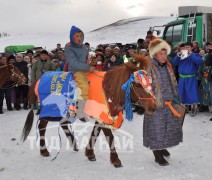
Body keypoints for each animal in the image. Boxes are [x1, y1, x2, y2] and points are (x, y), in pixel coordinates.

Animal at [21, 54, 157, 167]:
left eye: (150, 82)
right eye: (138, 85)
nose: (153, 107)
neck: (108, 90)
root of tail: (38, 80)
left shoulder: (101, 117)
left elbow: (95, 133)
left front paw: (89, 153)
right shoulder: (103, 117)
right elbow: (109, 137)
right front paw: (115, 159)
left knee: (63, 124)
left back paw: (74, 144)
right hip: (49, 111)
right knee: (42, 126)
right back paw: (44, 150)